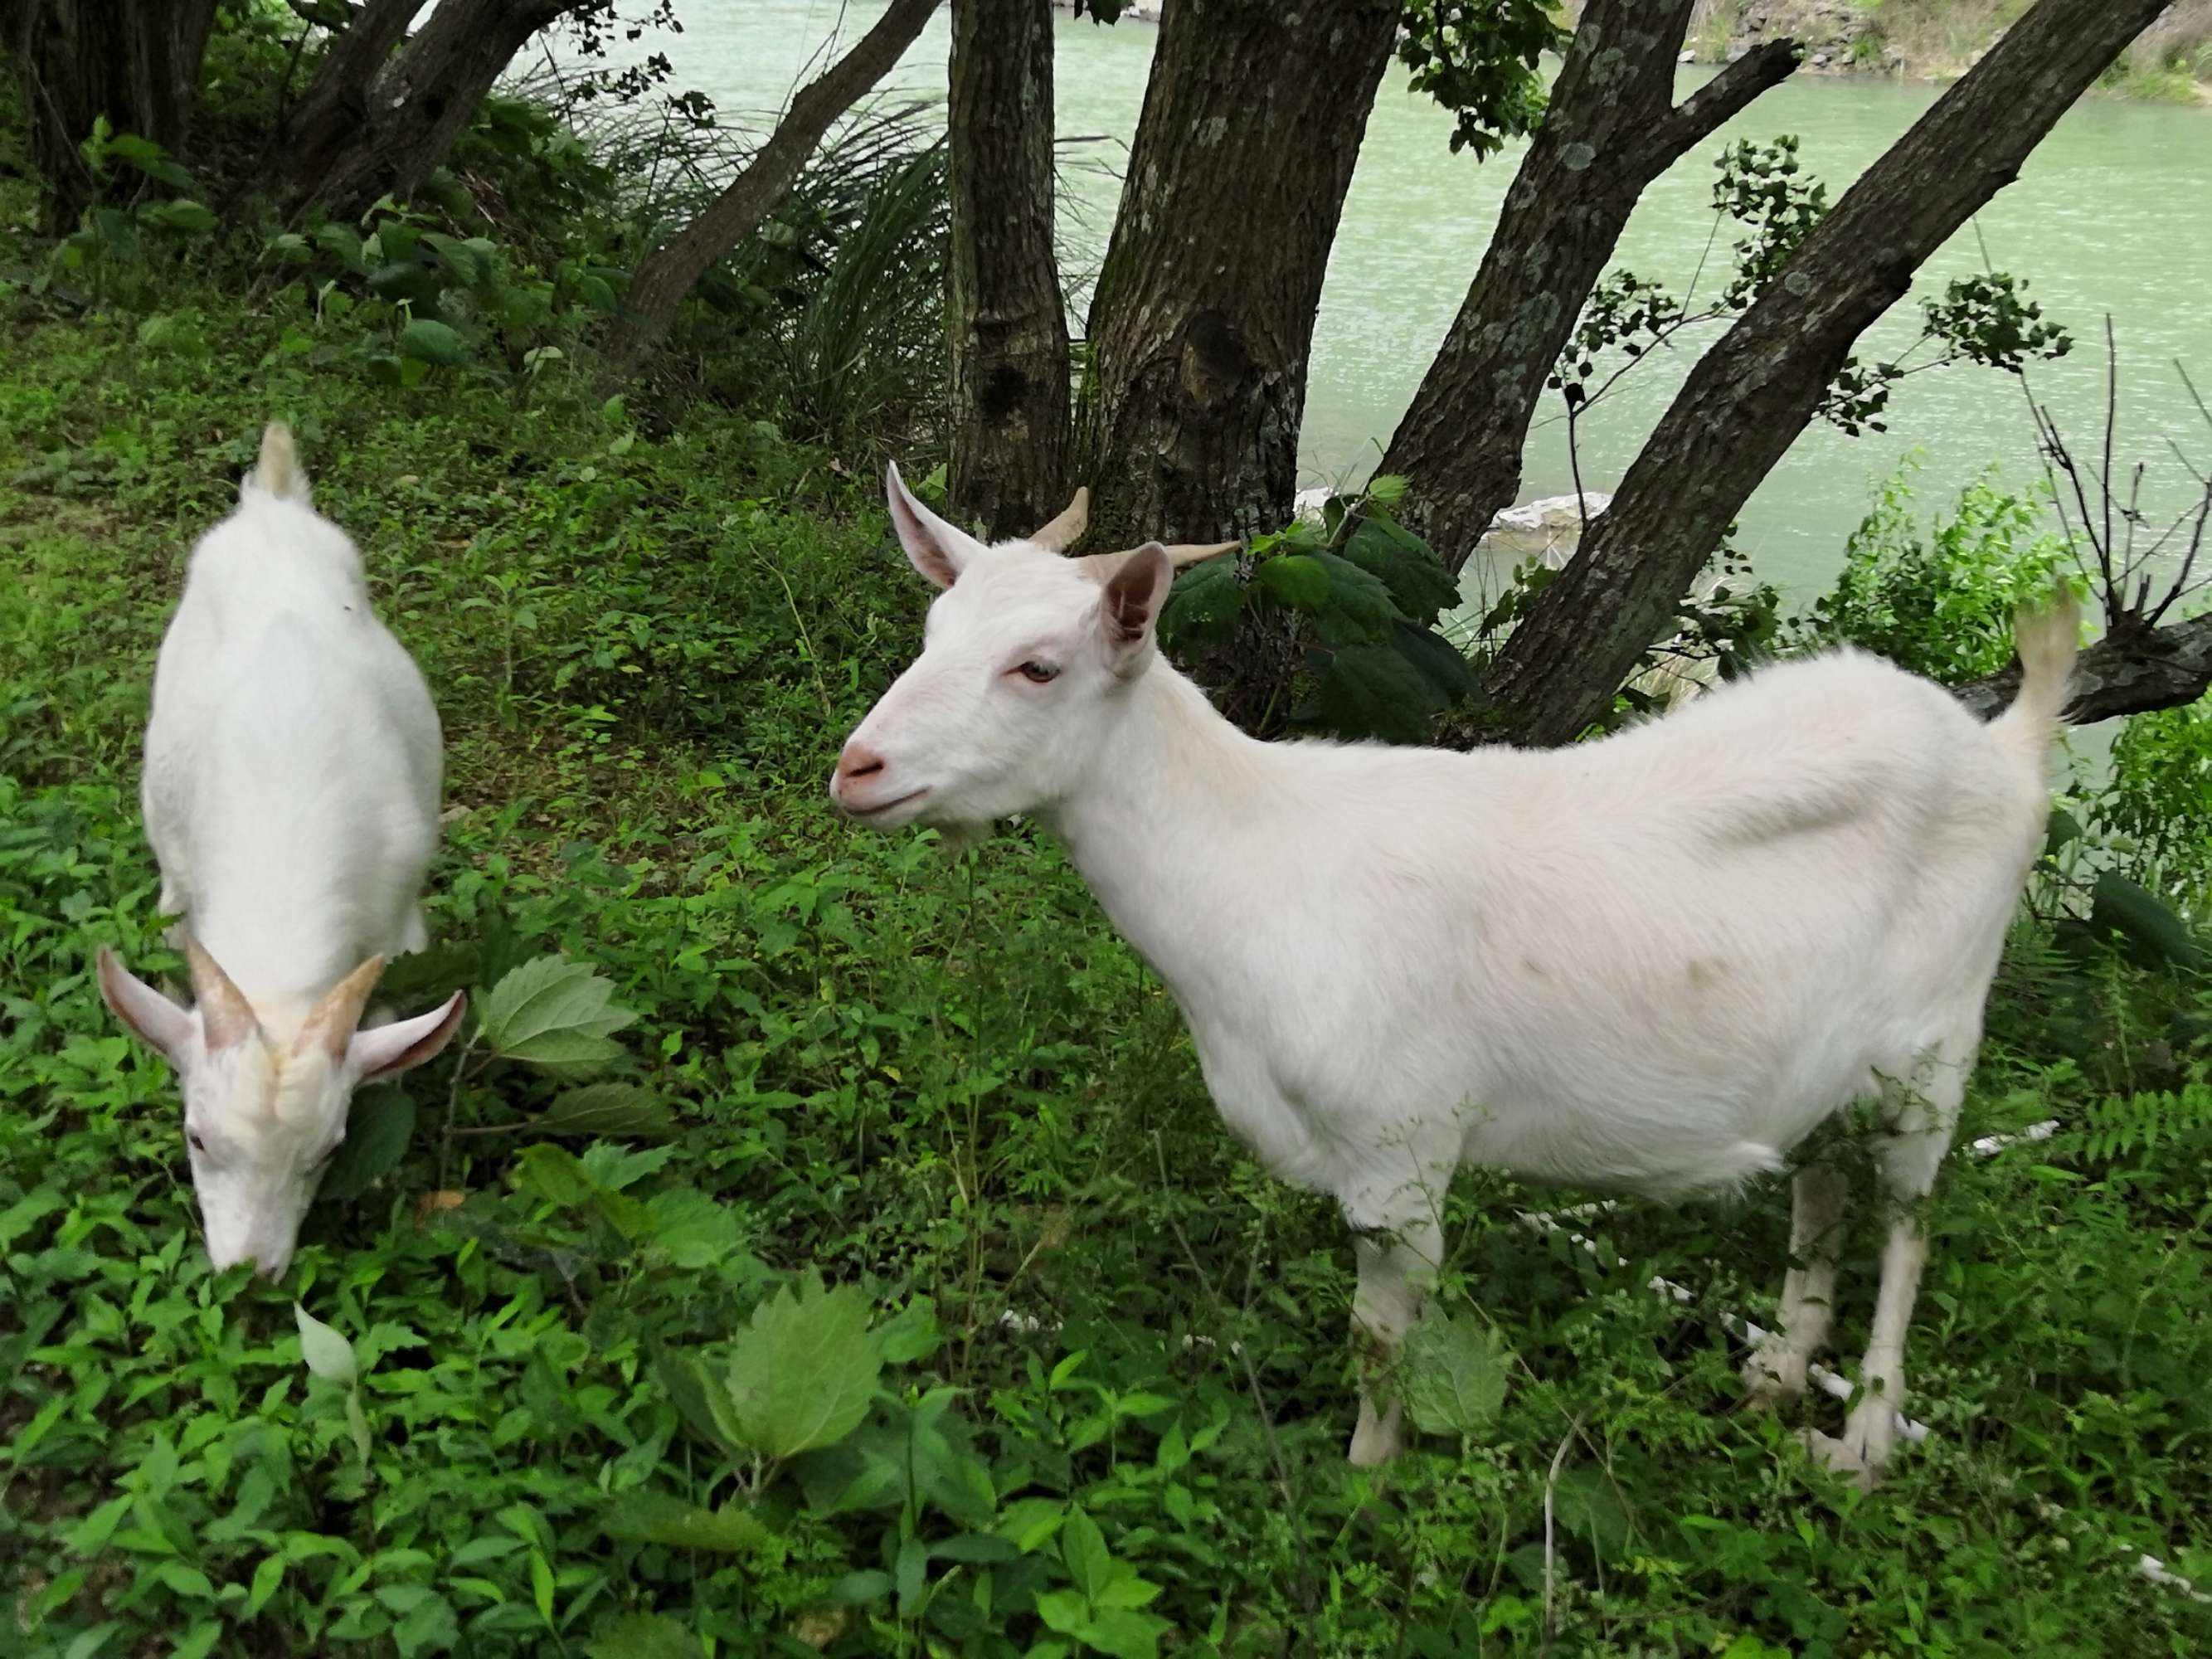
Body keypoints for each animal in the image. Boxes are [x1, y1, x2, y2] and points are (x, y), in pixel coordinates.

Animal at [831, 465, 2070, 1477]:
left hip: (1933, 1045)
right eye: (933, 627)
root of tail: (2008, 745)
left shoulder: (1403, 1151)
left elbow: (1383, 1339)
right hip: (1829, 1064)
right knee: (1822, 1178)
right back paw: (1778, 1364)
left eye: (1038, 667)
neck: (1256, 859)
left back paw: (1862, 1436)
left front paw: (1366, 1481)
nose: (858, 768)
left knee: (1909, 1218)